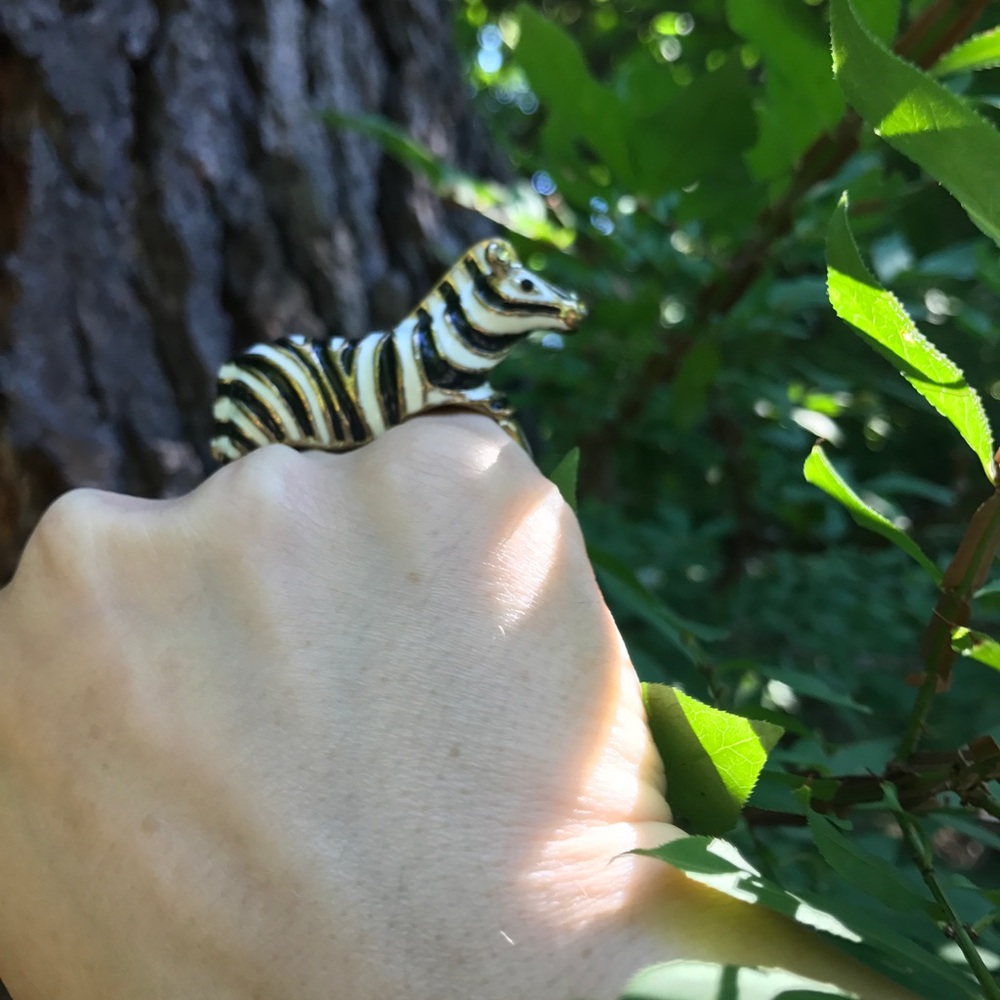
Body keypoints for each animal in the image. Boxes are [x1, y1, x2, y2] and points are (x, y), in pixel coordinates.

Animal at [210, 239, 587, 462]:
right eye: (527, 284)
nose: (578, 309)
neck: (438, 348)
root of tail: (232, 366)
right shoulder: (470, 397)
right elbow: (509, 423)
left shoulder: (487, 396)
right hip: (251, 433)